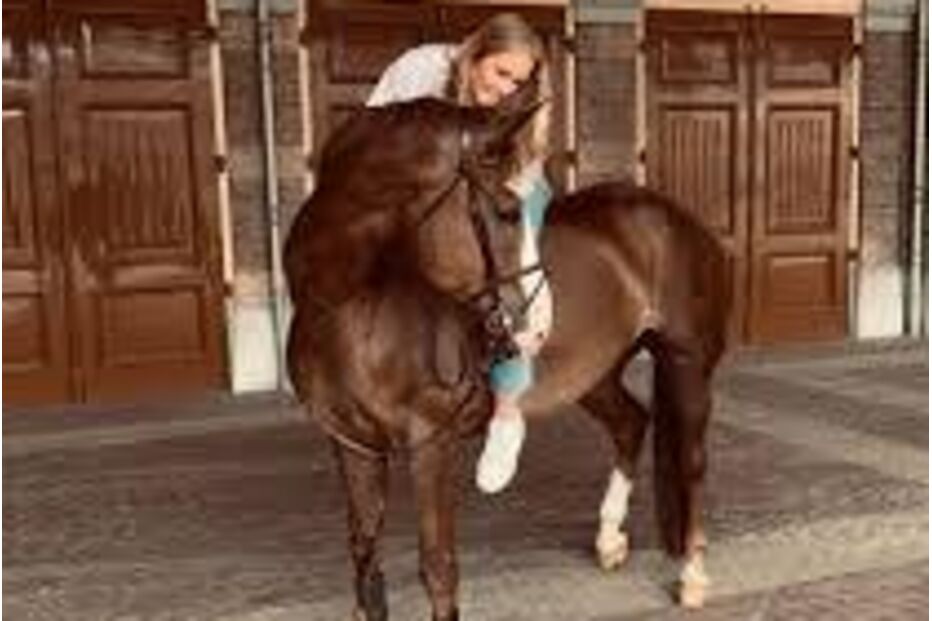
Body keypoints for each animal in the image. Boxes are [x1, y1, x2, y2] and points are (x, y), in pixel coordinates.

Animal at [284, 97, 731, 621]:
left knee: (693, 464)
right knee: (630, 423)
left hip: (687, 364)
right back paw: (608, 540)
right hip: (591, 374)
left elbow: (438, 565)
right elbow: (364, 561)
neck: (350, 310)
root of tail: (672, 213)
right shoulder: (353, 445)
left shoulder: (429, 443)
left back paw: (693, 575)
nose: (537, 324)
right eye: (506, 212)